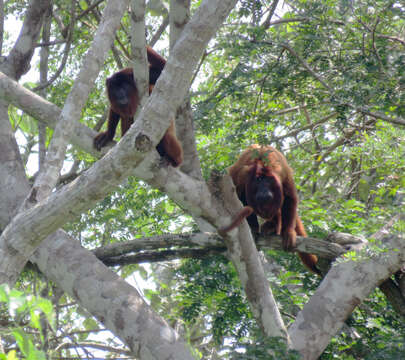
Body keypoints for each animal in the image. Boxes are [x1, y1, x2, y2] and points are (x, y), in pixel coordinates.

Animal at [221, 145, 318, 274]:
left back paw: (273, 227)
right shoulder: (242, 175)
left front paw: (288, 232)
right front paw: (253, 228)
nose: (264, 192)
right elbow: (242, 199)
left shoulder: (282, 172)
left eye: (268, 181)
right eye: (258, 181)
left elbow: (290, 197)